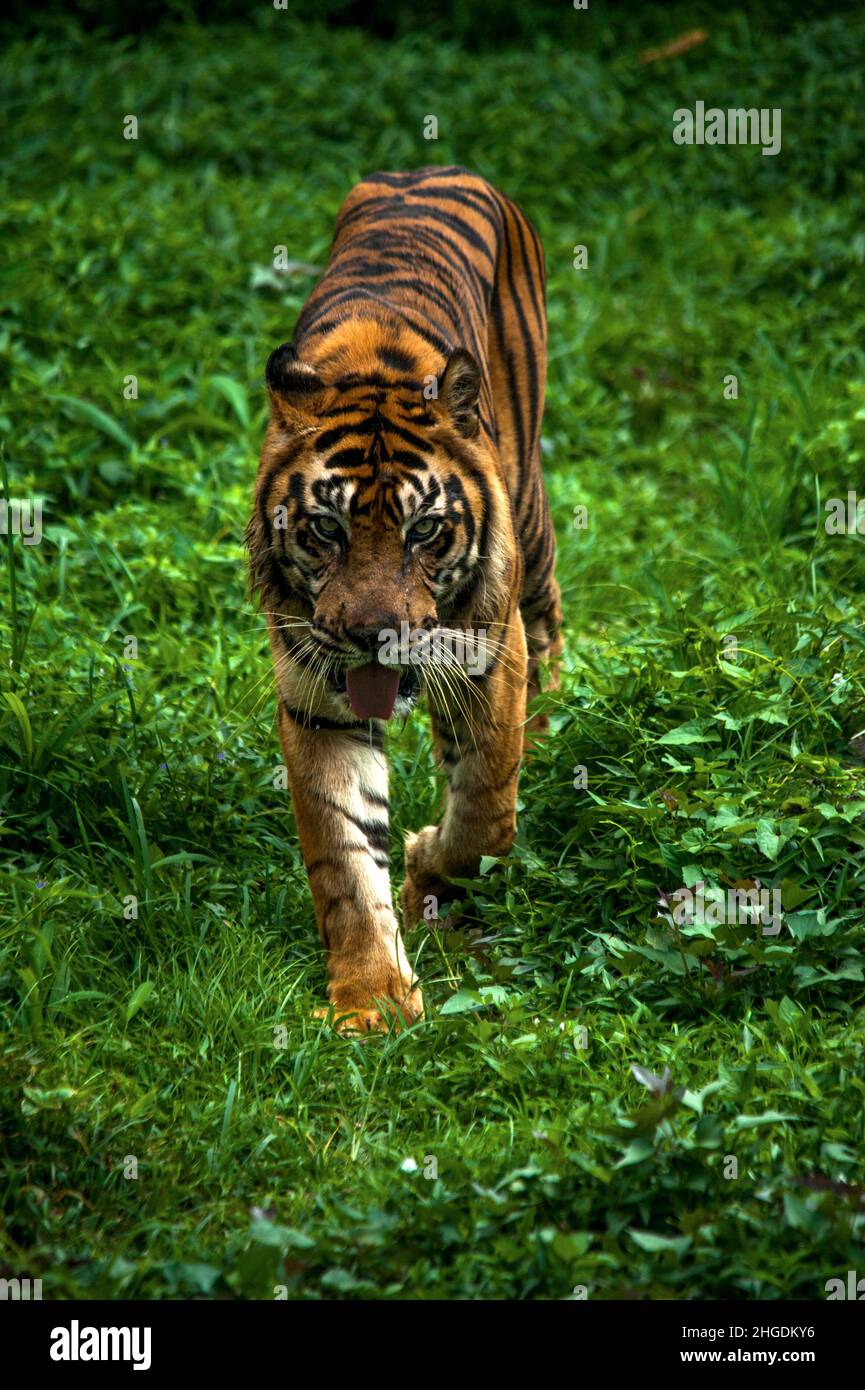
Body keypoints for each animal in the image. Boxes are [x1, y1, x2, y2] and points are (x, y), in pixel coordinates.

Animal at [247, 165, 562, 1032]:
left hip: (529, 518)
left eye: (424, 530)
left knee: (549, 620)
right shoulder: (316, 695)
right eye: (325, 527)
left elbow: (486, 812)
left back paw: (551, 726)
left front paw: (426, 866)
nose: (372, 635)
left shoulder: (489, 655)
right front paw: (373, 997)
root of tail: (428, 168)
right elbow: (344, 855)